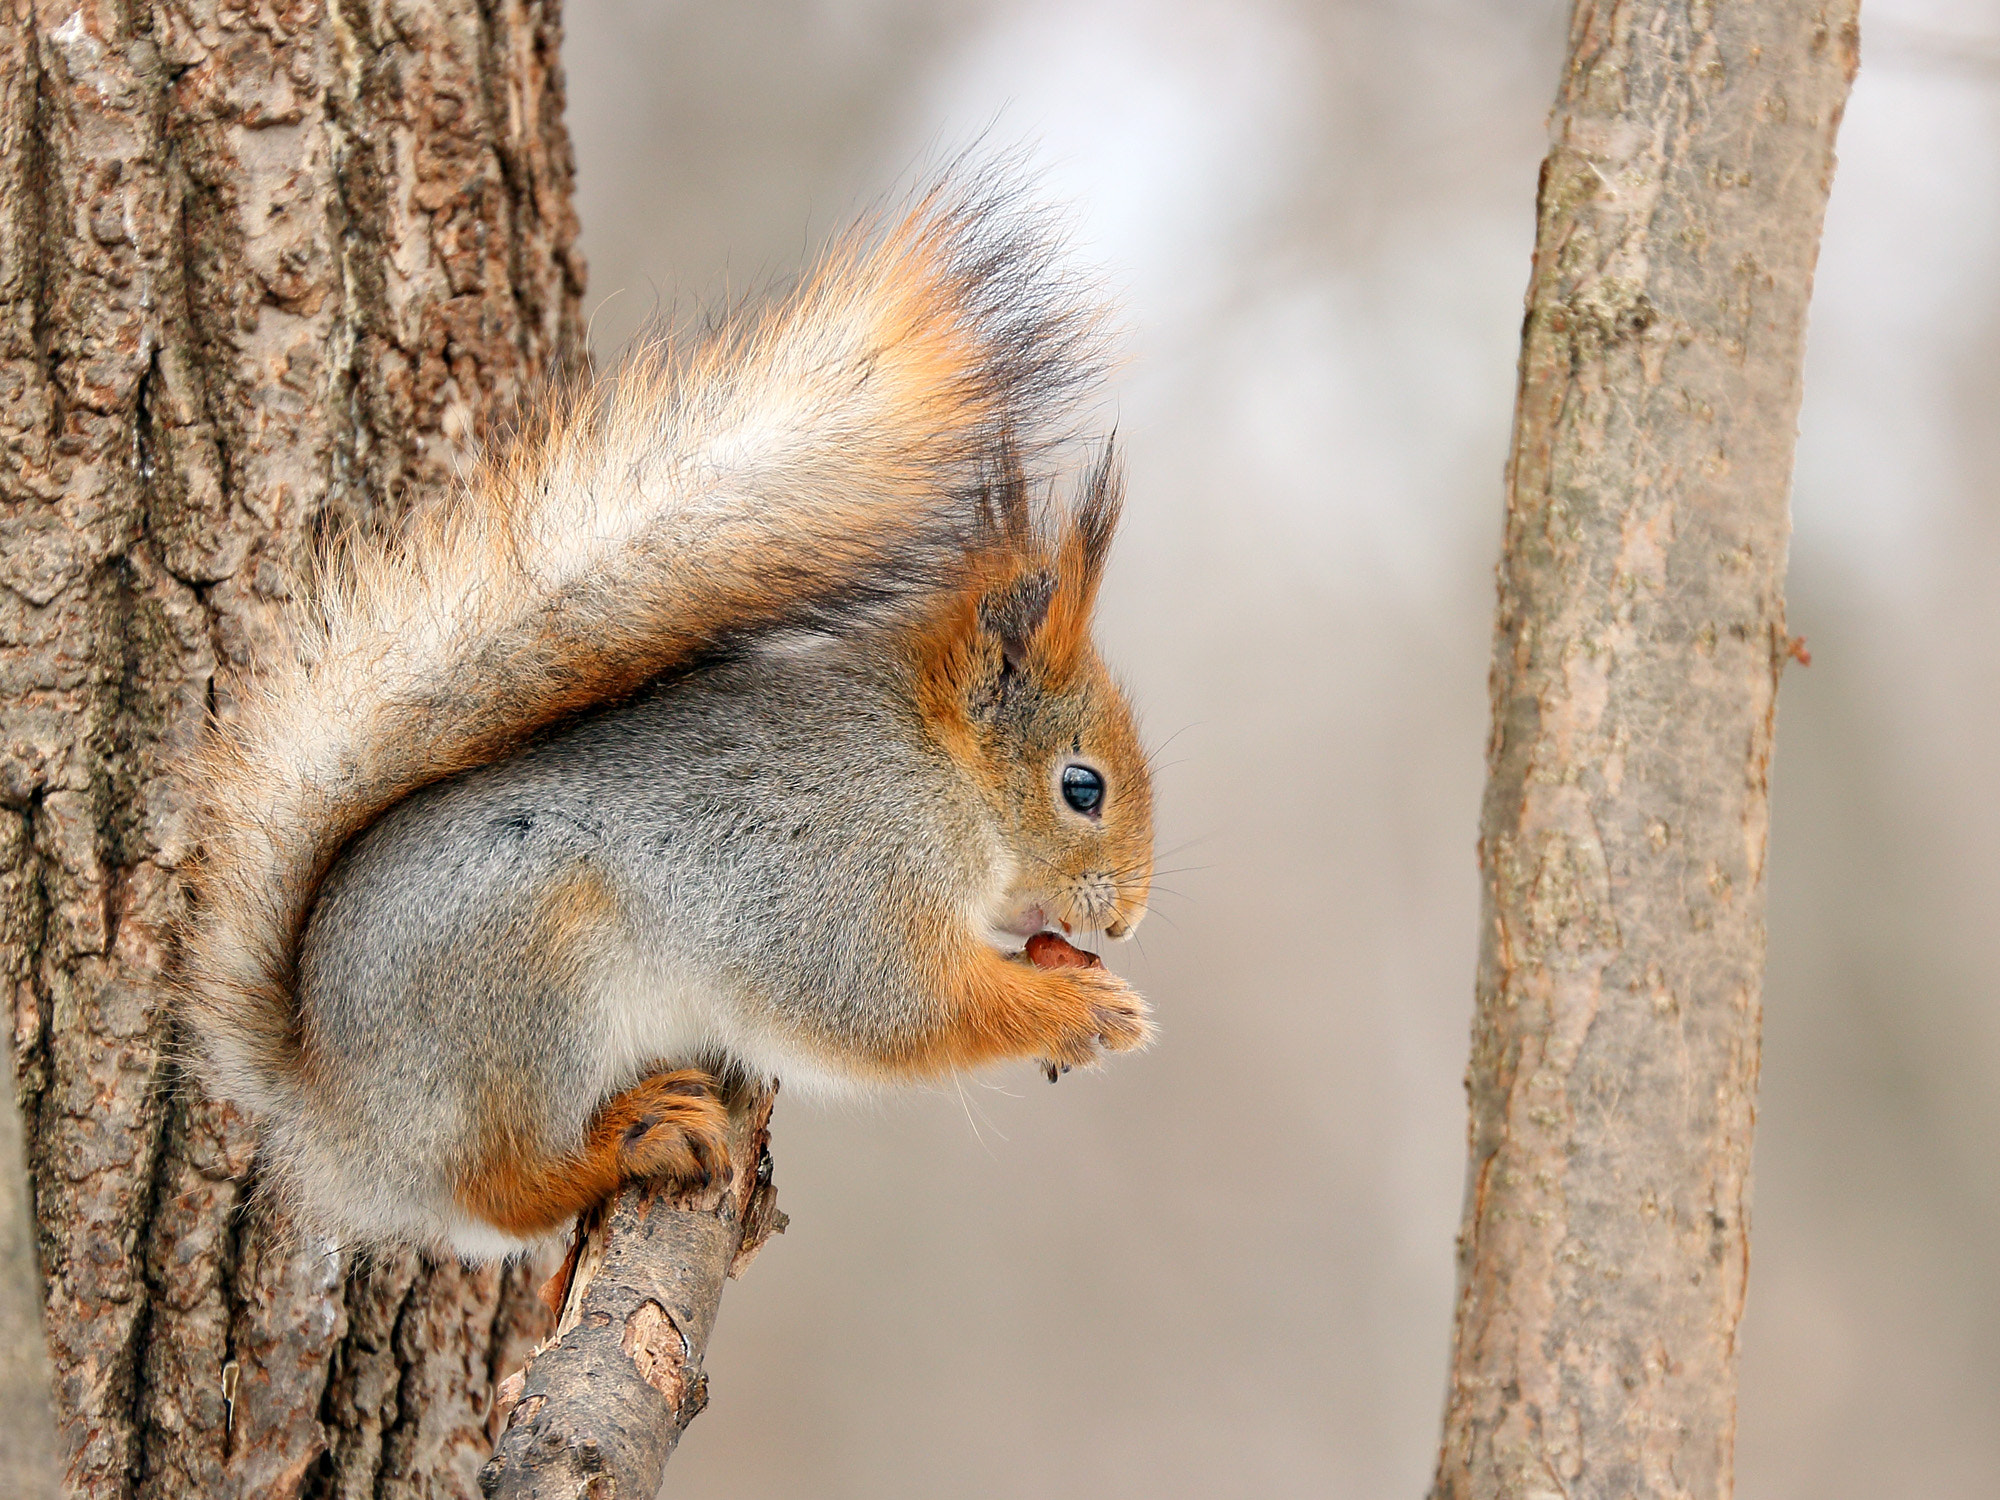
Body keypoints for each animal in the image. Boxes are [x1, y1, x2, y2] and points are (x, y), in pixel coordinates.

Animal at [176, 176, 1156, 1260]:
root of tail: (333, 1116)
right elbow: (894, 1010)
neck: (937, 774)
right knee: (503, 1188)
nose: (1127, 917)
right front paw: (1075, 1005)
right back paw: (634, 1137)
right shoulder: (843, 884)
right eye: (1081, 787)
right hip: (527, 996)